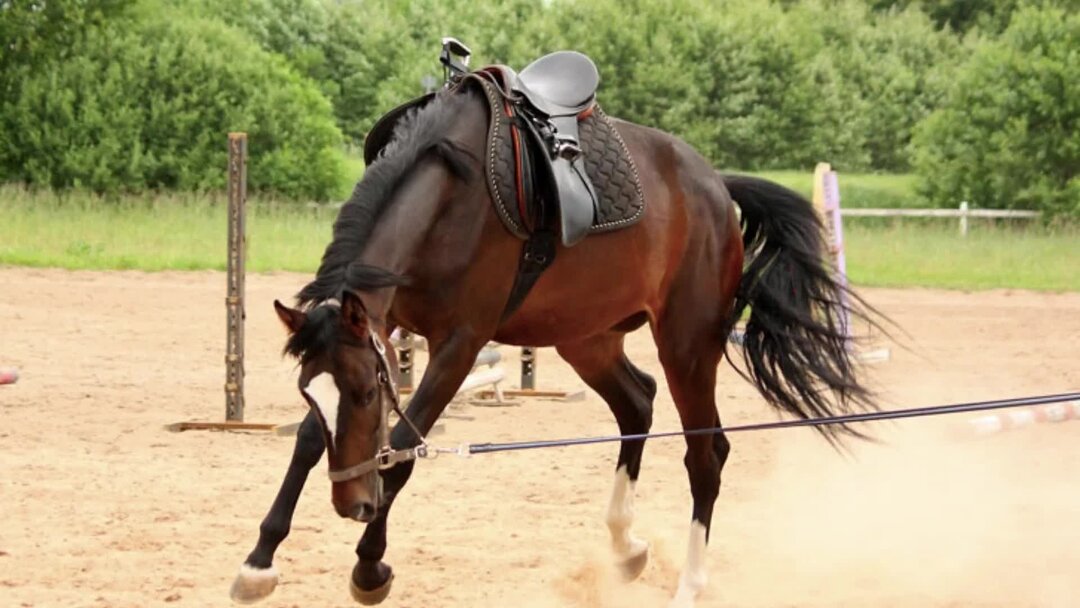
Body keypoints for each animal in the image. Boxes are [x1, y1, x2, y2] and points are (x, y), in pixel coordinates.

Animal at [227, 70, 876, 604]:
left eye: (366, 396)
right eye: (313, 392)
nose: (351, 505)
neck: (450, 187)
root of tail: (715, 185)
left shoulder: (460, 343)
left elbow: (404, 451)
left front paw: (370, 568)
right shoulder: (380, 323)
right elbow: (309, 439)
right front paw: (259, 561)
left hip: (687, 343)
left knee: (706, 453)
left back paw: (690, 585)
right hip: (586, 337)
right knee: (638, 402)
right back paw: (625, 546)